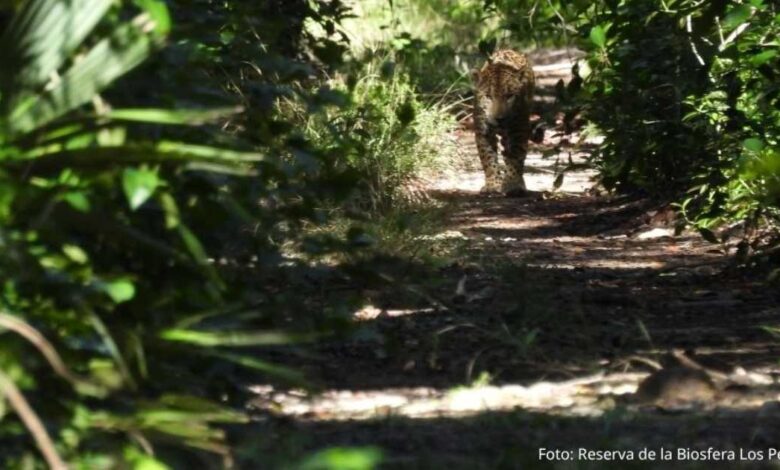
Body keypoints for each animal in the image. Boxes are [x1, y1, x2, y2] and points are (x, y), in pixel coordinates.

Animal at [471, 49, 535, 196]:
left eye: (510, 96)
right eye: (488, 96)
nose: (499, 118)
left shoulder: (519, 131)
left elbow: (516, 158)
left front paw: (512, 185)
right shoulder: (483, 132)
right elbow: (488, 159)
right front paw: (493, 185)